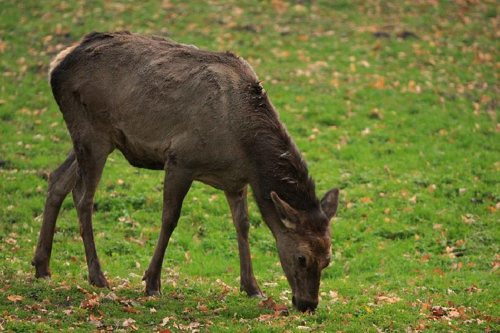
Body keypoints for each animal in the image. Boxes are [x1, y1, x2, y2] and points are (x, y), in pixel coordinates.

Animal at [33, 31, 340, 312]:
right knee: (84, 197)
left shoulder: (235, 181)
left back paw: (41, 266)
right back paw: (98, 277)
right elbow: (169, 219)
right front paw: (152, 282)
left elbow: (242, 225)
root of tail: (57, 64)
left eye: (328, 259)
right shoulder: (180, 159)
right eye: (301, 257)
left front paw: (252, 287)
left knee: (57, 180)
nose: (308, 304)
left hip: (95, 138)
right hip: (92, 132)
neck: (245, 149)